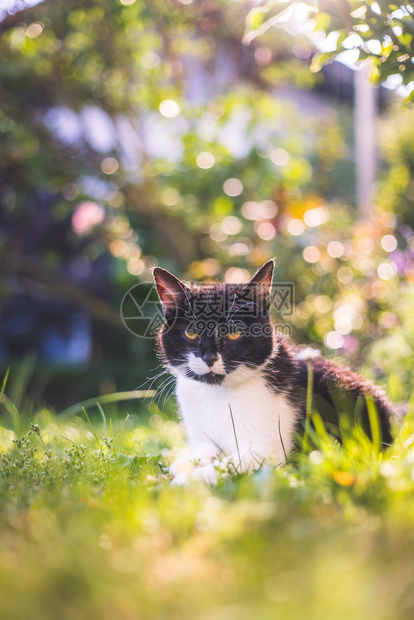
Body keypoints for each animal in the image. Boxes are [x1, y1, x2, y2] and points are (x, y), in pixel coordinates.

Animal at [154, 260, 392, 482]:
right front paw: (184, 464)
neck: (217, 392)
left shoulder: (269, 451)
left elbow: (228, 465)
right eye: (191, 333)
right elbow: (204, 451)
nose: (210, 358)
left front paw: (188, 480)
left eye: (234, 334)